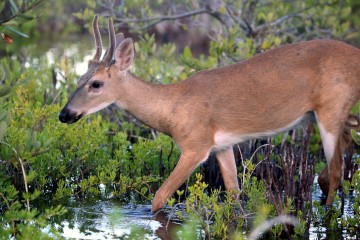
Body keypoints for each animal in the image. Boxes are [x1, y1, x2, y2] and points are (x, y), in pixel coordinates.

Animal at [58, 15, 360, 213]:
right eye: (80, 77)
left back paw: (328, 212)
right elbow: (235, 193)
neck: (173, 107)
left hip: (330, 109)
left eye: (96, 84)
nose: (65, 114)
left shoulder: (196, 145)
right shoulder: (222, 146)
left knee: (337, 171)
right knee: (346, 146)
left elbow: (159, 198)